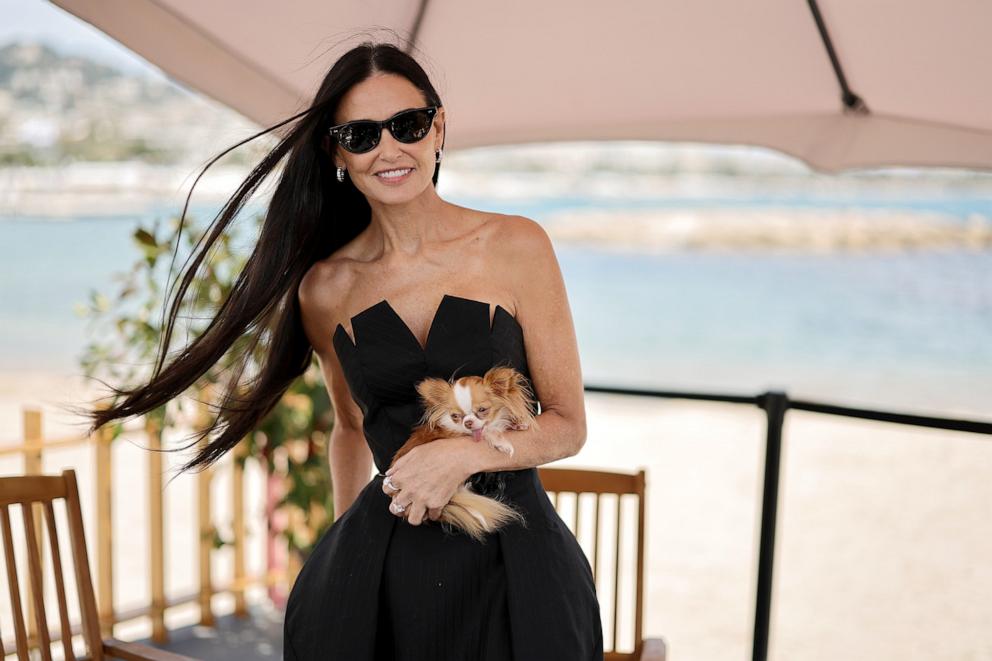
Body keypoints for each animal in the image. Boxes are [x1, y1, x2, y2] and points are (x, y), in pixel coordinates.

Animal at [390, 366, 544, 540]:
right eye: (456, 416)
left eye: (482, 410)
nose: (468, 423)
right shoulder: (456, 434)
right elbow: (490, 432)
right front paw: (502, 442)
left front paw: (517, 424)